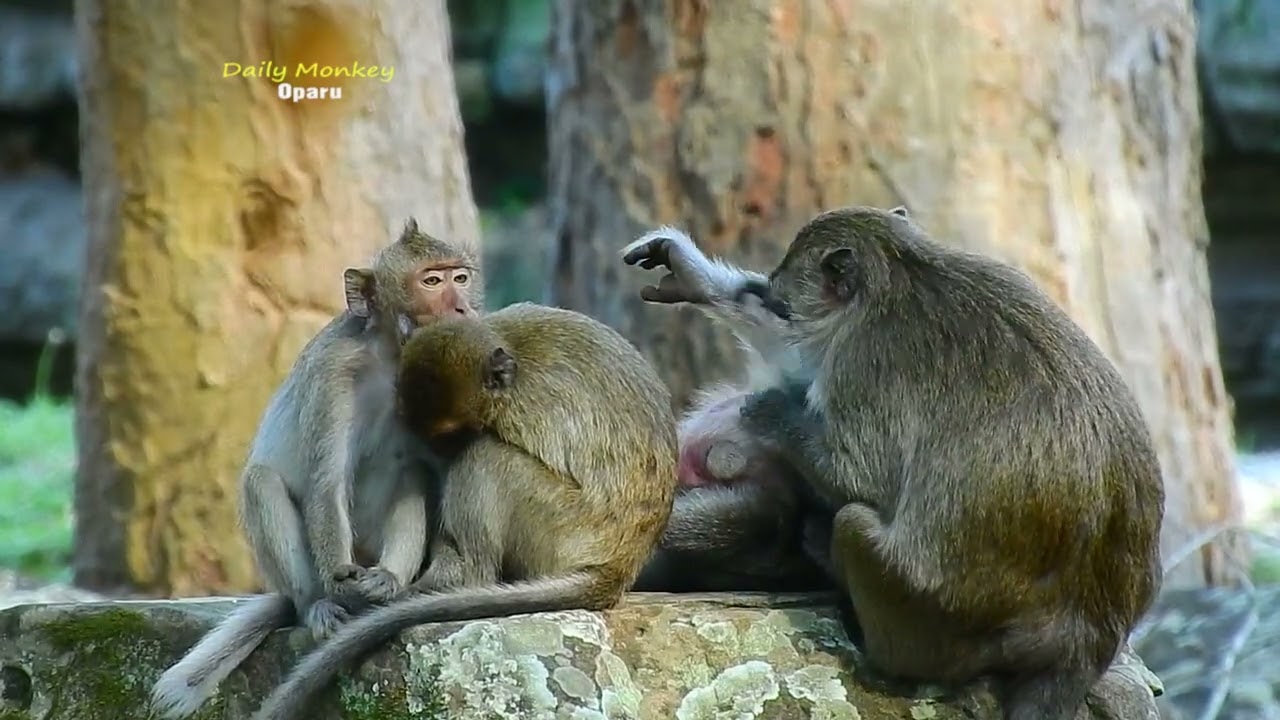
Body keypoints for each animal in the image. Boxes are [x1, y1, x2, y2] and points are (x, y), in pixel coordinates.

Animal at [149, 219, 483, 720]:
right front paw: (340, 594)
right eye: (431, 281)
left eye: (460, 277)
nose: (462, 306)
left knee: (412, 477)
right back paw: (319, 605)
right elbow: (326, 483)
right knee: (262, 483)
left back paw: (385, 582)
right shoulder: (333, 374)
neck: (390, 355)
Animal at [246, 302, 678, 720]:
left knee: (484, 456)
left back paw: (458, 579)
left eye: (450, 434)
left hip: (567, 529)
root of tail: (620, 565)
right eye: (431, 436)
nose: (441, 452)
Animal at [623, 206, 1165, 720]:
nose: (772, 296)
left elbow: (858, 474)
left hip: (935, 614)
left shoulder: (862, 362)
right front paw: (690, 272)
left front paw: (773, 411)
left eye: (784, 296)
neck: (904, 268)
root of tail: (1089, 637)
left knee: (853, 523)